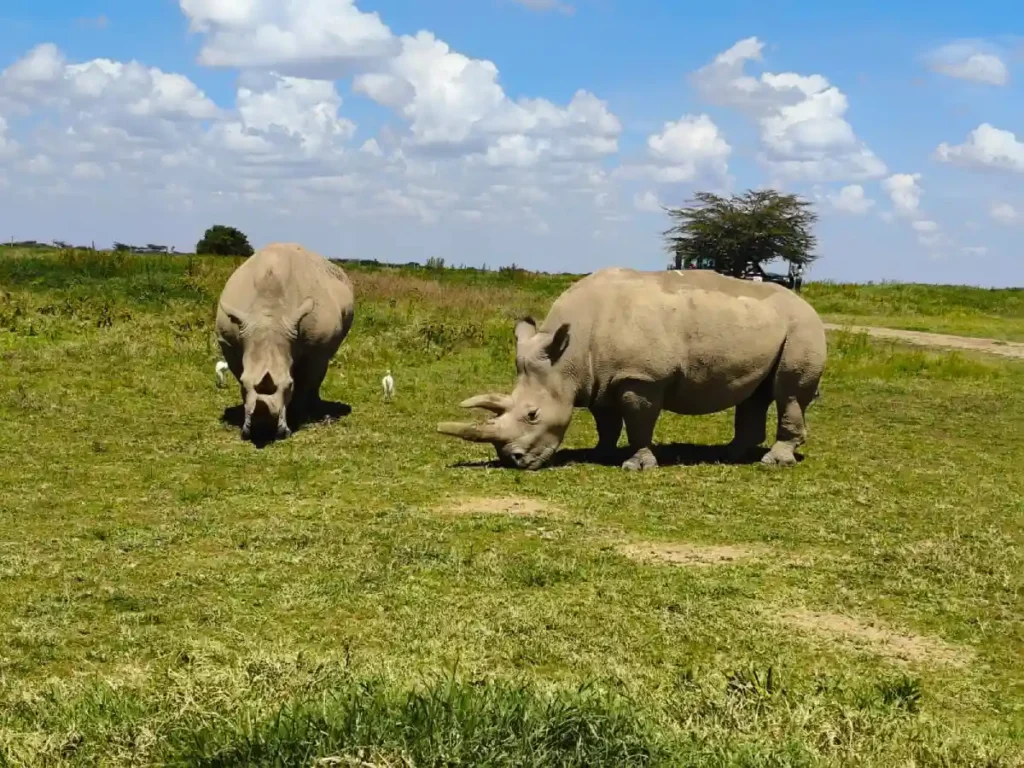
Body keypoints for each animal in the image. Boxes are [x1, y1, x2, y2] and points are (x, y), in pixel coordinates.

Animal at [215, 242, 355, 440]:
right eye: (243, 384)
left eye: (289, 385)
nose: (263, 427)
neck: (270, 314)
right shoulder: (230, 343)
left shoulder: (317, 348)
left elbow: (307, 380)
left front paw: (296, 416)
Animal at [438, 267, 826, 470]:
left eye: (532, 415)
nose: (513, 460)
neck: (569, 356)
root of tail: (807, 303)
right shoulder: (597, 378)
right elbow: (606, 422)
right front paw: (600, 454)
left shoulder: (641, 378)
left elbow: (638, 422)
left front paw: (636, 465)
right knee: (756, 394)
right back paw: (729, 455)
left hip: (803, 327)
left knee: (788, 393)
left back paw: (774, 461)